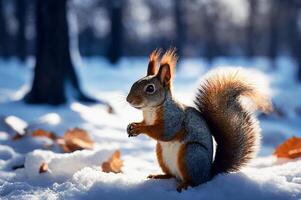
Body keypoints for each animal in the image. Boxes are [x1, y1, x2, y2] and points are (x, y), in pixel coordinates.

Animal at [125, 48, 270, 192]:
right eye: (134, 83)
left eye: (150, 88)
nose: (128, 100)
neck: (151, 110)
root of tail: (208, 174)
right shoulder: (148, 119)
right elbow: (146, 124)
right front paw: (132, 125)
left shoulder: (174, 118)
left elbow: (164, 132)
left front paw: (139, 128)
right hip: (161, 154)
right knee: (172, 175)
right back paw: (159, 176)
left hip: (191, 154)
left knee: (194, 181)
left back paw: (185, 185)